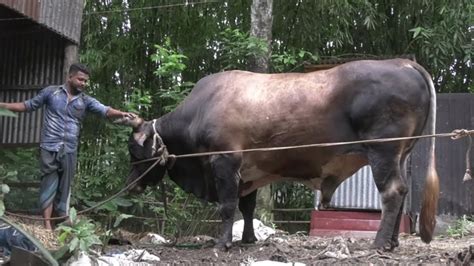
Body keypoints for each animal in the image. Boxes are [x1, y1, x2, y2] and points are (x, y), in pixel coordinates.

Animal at [116, 59, 438, 252]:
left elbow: (227, 206)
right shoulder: (248, 171)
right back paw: (393, 242)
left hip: (383, 150)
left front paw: (223, 244)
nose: (130, 184)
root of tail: (403, 62)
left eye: (133, 149)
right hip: (401, 153)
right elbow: (247, 208)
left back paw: (379, 243)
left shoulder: (225, 162)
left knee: (392, 192)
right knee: (403, 192)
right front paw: (247, 238)